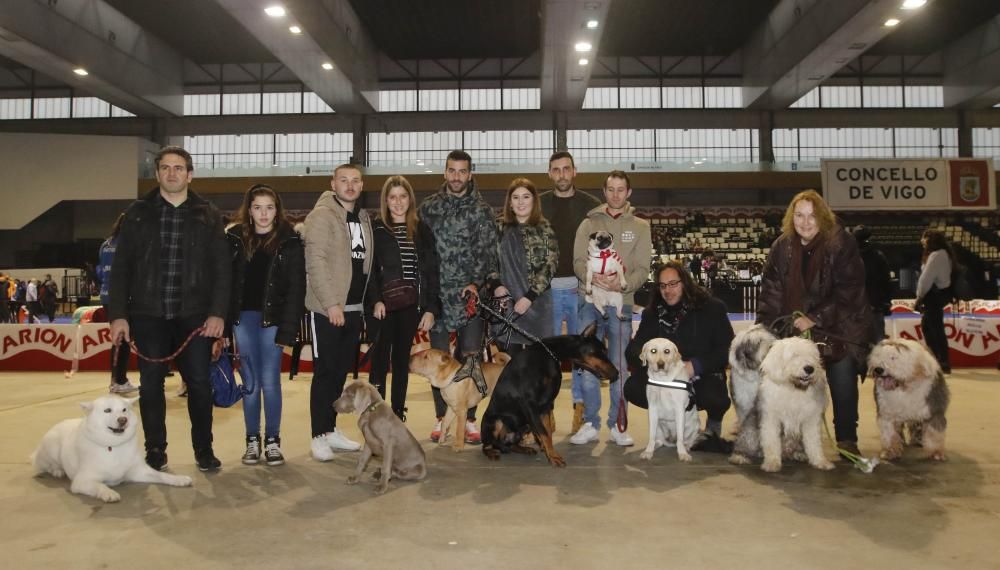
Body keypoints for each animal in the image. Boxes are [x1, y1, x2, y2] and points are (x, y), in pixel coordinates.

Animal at [31, 392, 191, 500]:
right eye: (107, 410)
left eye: (124, 410)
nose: (123, 420)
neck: (113, 446)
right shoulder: (82, 481)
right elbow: (100, 485)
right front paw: (109, 493)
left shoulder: (139, 472)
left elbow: (162, 476)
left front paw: (180, 479)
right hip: (51, 446)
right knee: (44, 466)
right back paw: (57, 471)